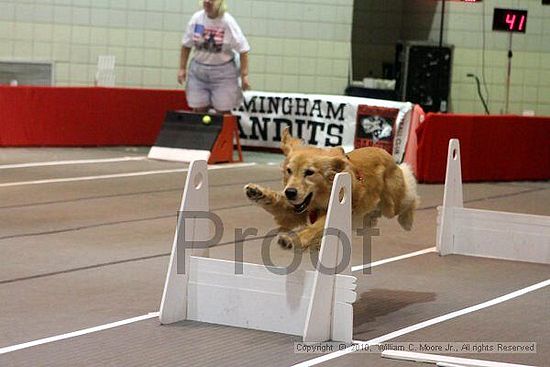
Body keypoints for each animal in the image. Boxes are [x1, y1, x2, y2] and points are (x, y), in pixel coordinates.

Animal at [244, 129, 420, 250]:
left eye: (309, 172)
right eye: (289, 170)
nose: (290, 192)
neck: (322, 197)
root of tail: (383, 151)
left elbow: (315, 228)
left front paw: (292, 239)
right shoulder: (294, 212)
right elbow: (278, 203)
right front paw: (257, 192)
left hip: (392, 204)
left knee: (410, 195)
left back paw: (408, 220)